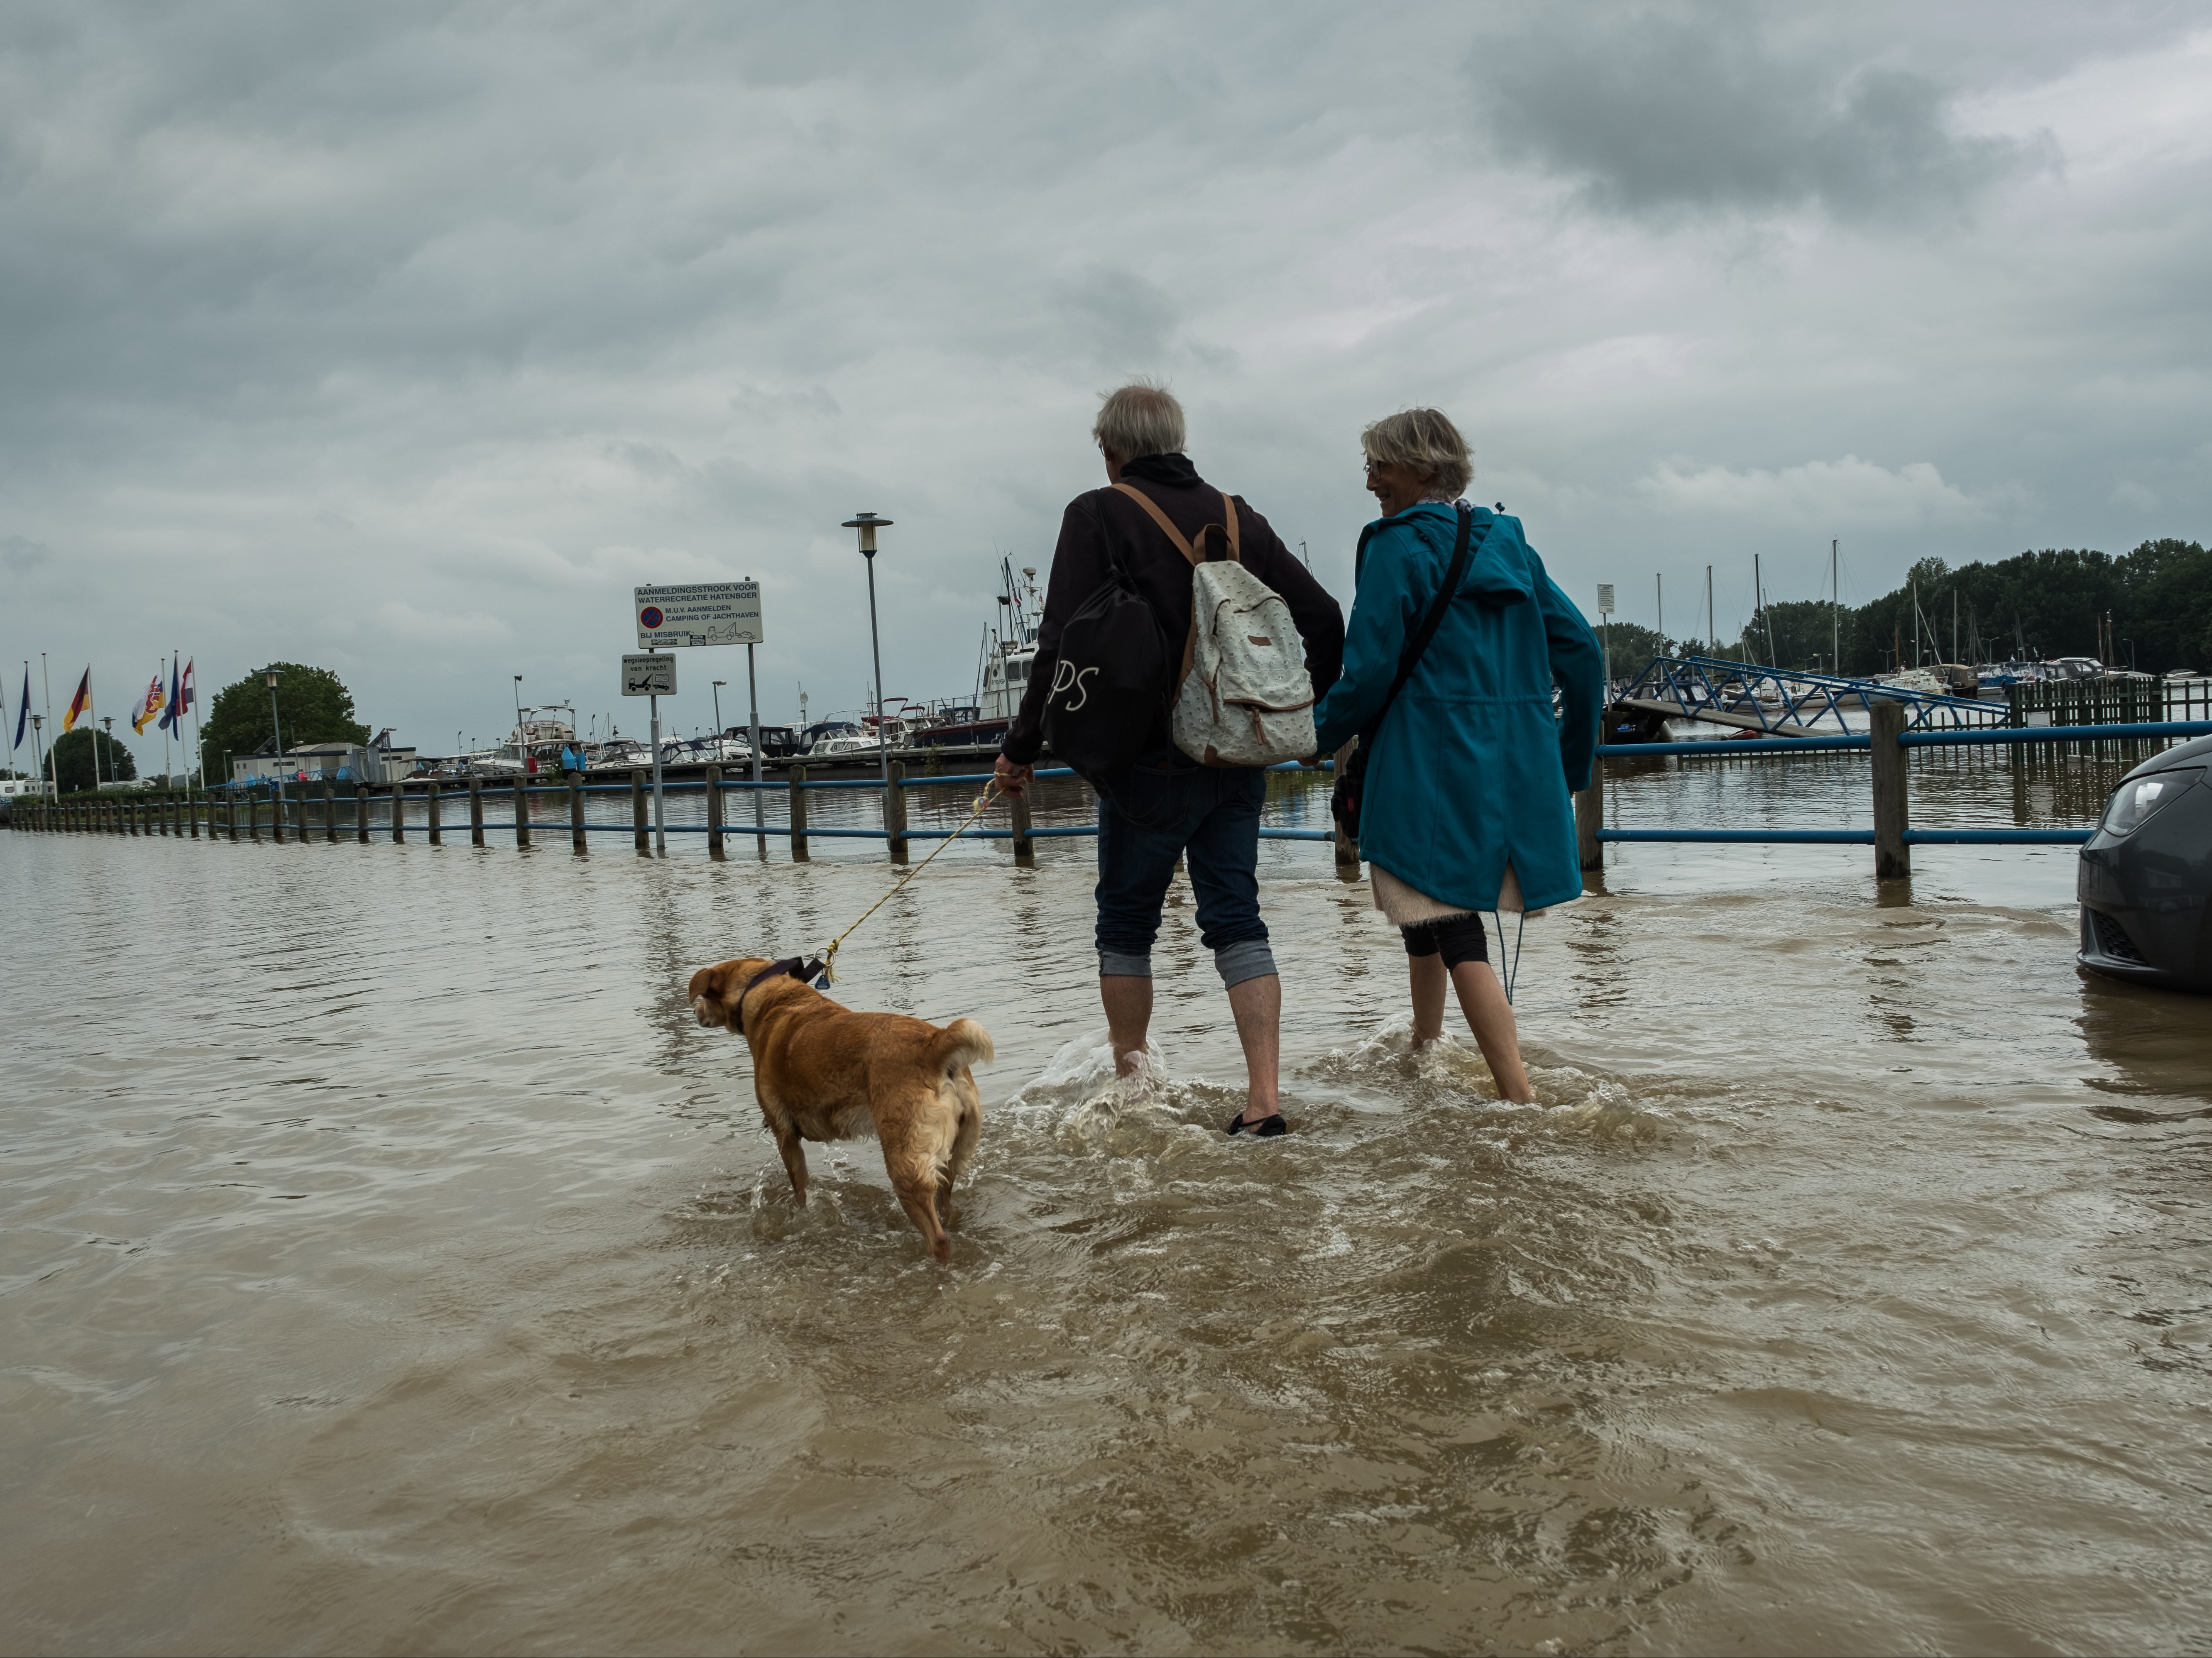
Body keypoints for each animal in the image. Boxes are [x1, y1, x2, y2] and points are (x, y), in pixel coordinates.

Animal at [690, 959, 995, 1255]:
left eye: (703, 997)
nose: (695, 1012)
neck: (767, 994)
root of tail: (934, 1045)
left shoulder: (785, 1136)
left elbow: (801, 1191)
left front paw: (802, 1217)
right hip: (951, 1160)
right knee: (946, 1210)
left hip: (905, 1165)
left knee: (939, 1239)